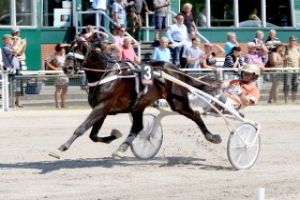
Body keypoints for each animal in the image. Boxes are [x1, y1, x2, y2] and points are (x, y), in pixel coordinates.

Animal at [49, 34, 223, 159]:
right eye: (70, 48)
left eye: (83, 48)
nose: (67, 68)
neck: (105, 74)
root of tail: (174, 68)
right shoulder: (102, 109)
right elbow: (93, 135)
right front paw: (113, 136)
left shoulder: (103, 106)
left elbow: (81, 128)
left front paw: (59, 149)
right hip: (139, 105)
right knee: (138, 127)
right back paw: (121, 148)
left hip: (177, 102)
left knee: (196, 114)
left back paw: (212, 137)